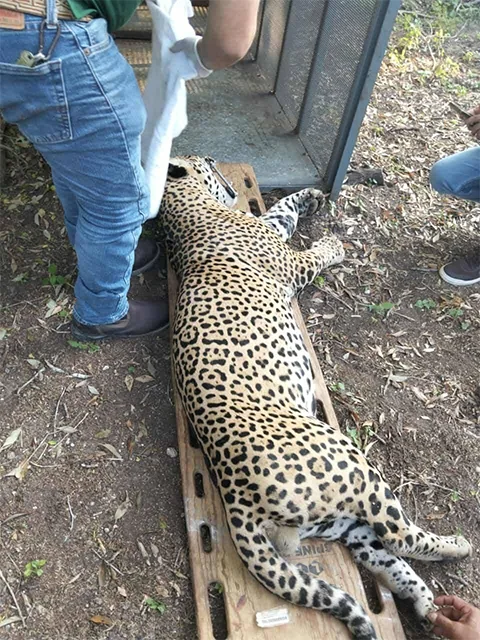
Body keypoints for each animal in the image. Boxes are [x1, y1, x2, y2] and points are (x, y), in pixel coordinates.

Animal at [160, 156, 472, 639]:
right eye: (206, 161)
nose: (213, 159)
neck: (185, 214)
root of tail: (236, 499)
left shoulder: (268, 225)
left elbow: (282, 211)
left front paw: (309, 197)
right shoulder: (290, 262)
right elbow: (313, 253)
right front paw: (332, 243)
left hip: (339, 522)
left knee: (383, 555)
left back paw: (426, 601)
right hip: (356, 468)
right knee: (400, 535)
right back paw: (457, 546)